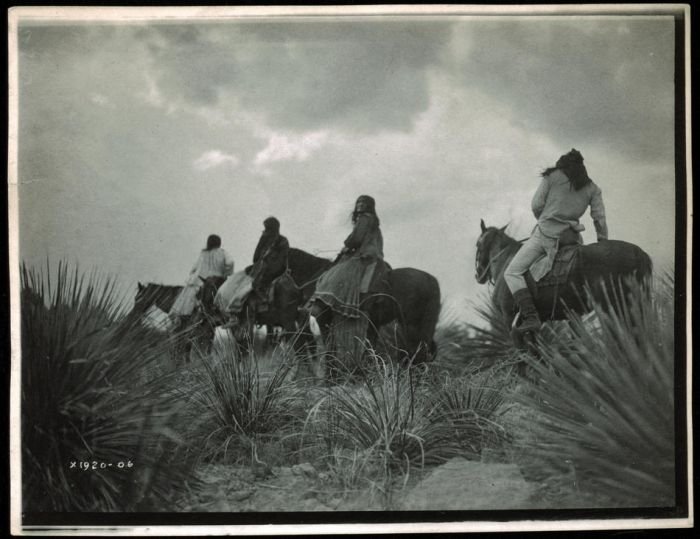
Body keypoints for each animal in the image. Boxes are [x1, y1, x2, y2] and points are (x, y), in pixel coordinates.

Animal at [474, 217, 652, 344]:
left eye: (477, 244)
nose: (478, 275)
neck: (506, 261)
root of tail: (639, 252)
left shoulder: (508, 317)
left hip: (614, 309)